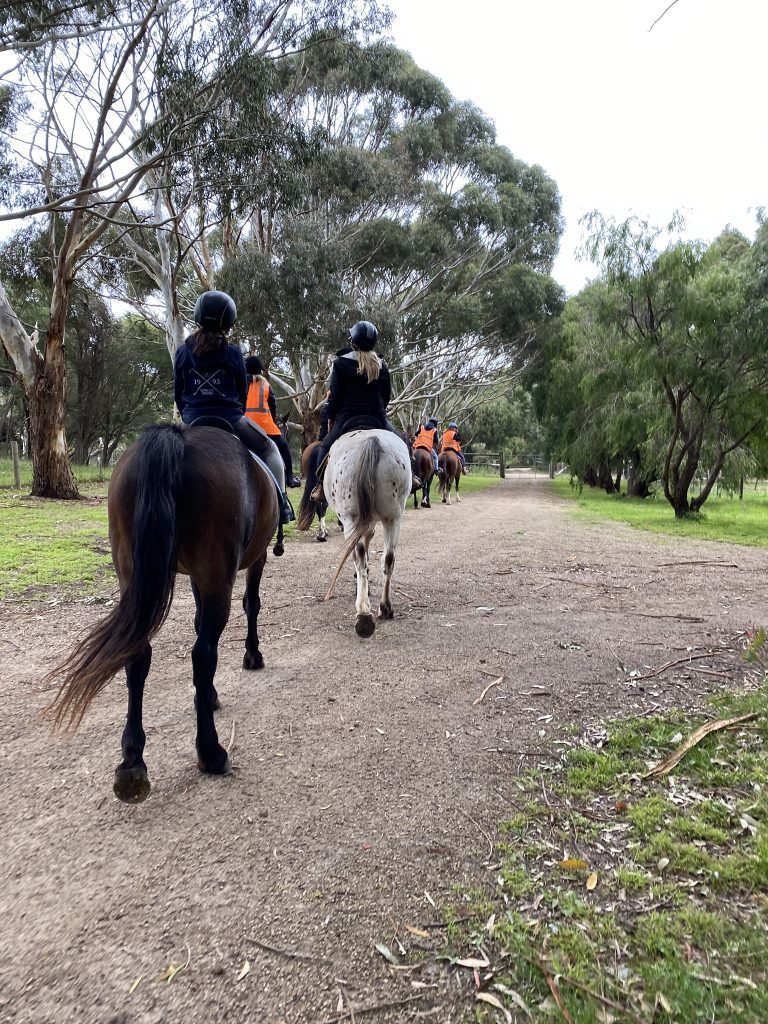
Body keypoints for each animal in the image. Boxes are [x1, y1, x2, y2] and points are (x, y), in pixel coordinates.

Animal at [46, 422, 279, 803]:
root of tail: (178, 438)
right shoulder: (250, 561)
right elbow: (251, 604)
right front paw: (252, 656)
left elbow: (199, 621)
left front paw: (209, 695)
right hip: (216, 570)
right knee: (203, 654)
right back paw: (211, 752)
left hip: (133, 569)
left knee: (138, 655)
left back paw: (132, 762)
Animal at [300, 429, 411, 637]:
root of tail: (371, 440)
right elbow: (369, 539)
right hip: (393, 518)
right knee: (388, 559)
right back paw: (385, 607)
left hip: (350, 517)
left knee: (359, 558)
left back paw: (363, 613)